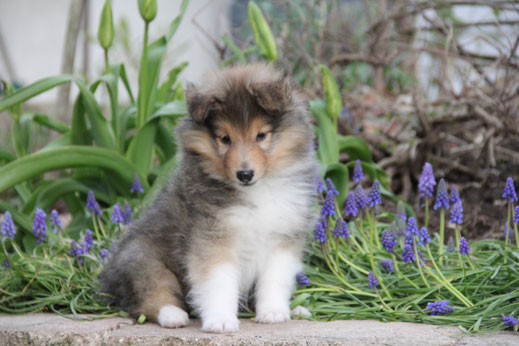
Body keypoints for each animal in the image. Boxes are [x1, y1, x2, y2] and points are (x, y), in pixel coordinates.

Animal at [97, 63, 316, 334]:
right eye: (225, 138)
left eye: (261, 135)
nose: (245, 174)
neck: (256, 192)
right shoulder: (212, 239)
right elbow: (218, 283)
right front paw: (220, 321)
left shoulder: (281, 237)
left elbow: (274, 280)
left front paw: (273, 312)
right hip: (143, 259)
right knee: (150, 296)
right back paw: (173, 315)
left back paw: (297, 310)